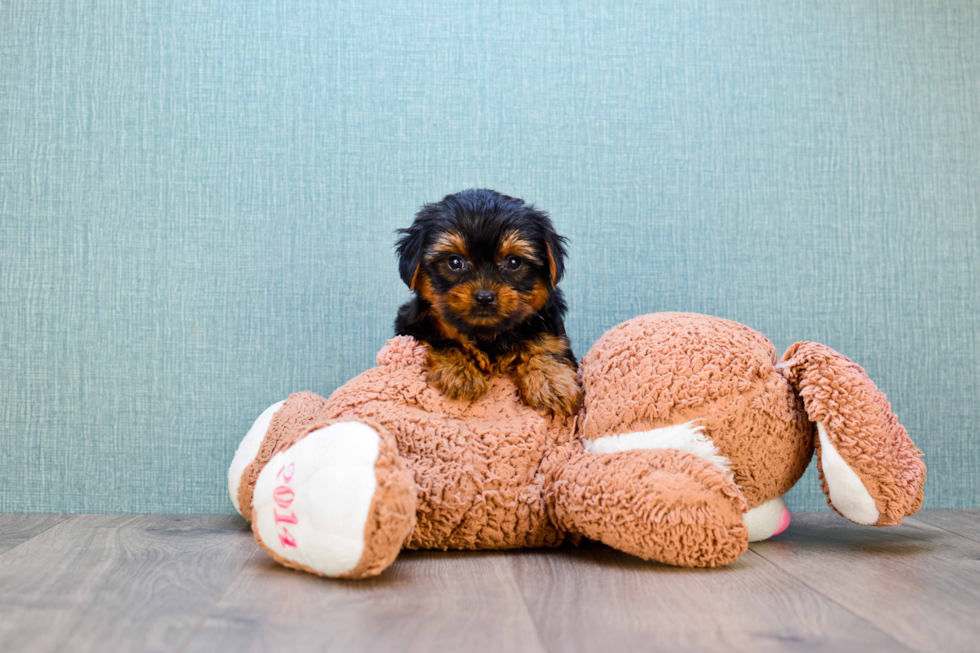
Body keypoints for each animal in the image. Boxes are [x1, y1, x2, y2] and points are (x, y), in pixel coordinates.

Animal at [394, 188, 580, 416]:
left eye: (513, 262)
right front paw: (460, 373)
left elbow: (545, 346)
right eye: (455, 262)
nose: (484, 297)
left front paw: (550, 381)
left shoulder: (549, 325)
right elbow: (442, 339)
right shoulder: (412, 325)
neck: (487, 334)